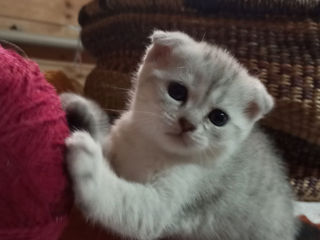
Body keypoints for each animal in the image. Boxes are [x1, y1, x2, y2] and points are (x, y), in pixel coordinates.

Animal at [62, 31, 298, 239]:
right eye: (177, 91)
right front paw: (82, 108)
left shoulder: (166, 205)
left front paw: (89, 165)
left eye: (219, 117)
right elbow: (101, 138)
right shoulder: (117, 149)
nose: (188, 123)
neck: (151, 147)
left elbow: (122, 201)